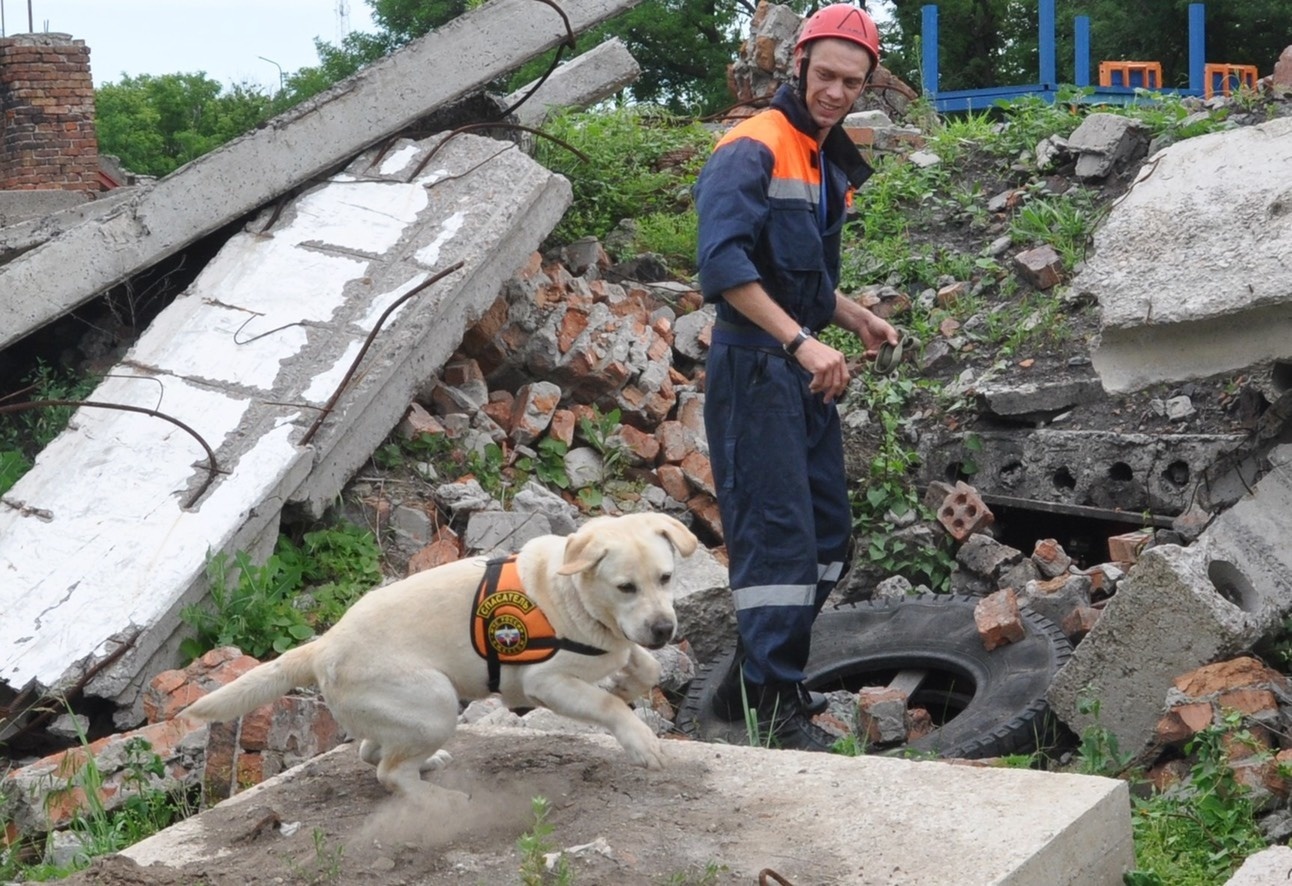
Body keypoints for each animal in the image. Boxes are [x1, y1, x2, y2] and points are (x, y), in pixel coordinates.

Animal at [182, 514, 697, 800]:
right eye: (625, 587)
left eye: (666, 577)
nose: (664, 629)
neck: (572, 594)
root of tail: (323, 644)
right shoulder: (544, 684)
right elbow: (609, 703)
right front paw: (641, 742)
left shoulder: (619, 644)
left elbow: (646, 665)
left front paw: (630, 681)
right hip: (435, 704)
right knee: (389, 772)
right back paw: (438, 800)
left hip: (410, 717)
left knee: (373, 752)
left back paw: (428, 767)